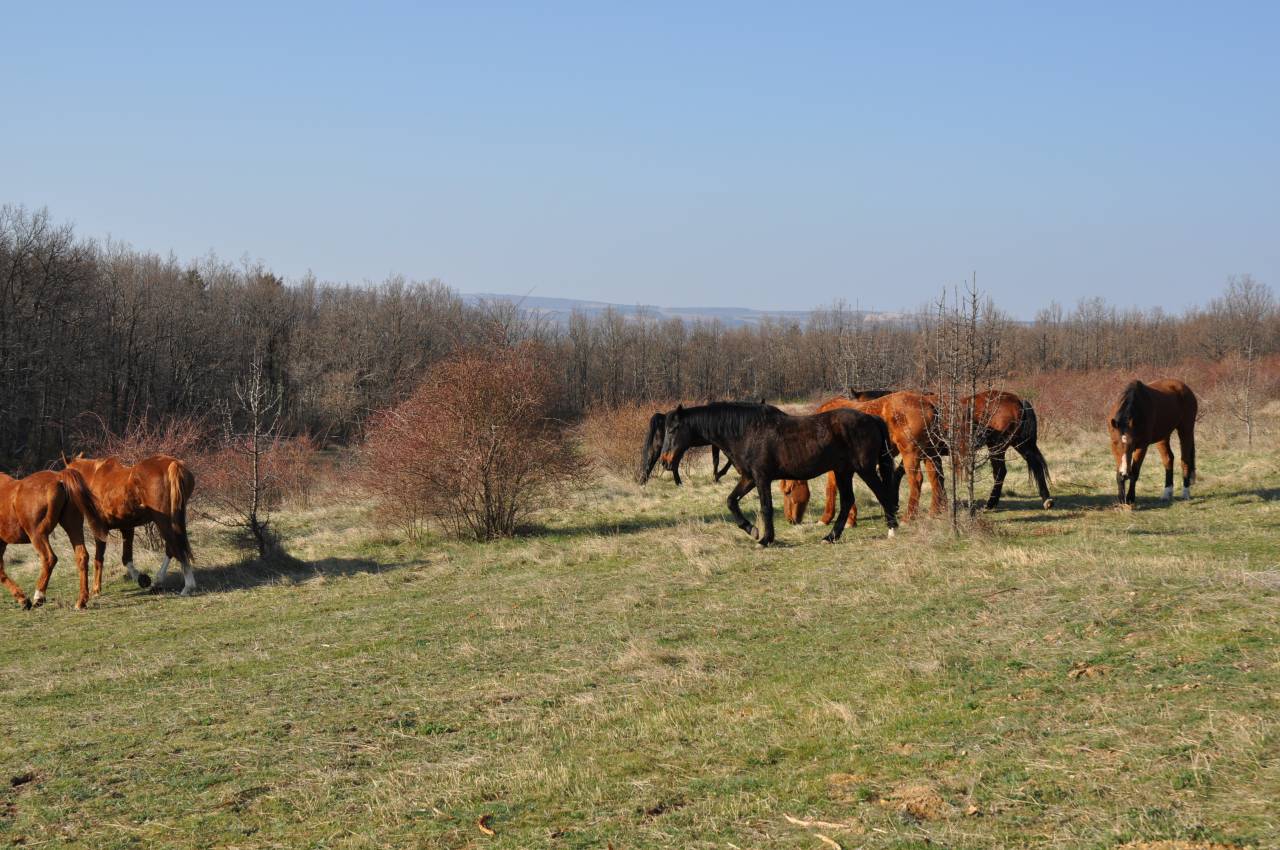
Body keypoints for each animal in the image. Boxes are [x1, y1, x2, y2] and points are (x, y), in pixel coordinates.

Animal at [0, 468, 107, 609]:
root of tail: (58, 477)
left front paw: (23, 599)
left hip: (37, 535)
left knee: (49, 558)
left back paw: (39, 596)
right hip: (73, 526)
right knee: (82, 556)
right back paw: (81, 601)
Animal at [64, 454, 197, 595]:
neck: (94, 478)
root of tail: (173, 464)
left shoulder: (100, 530)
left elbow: (98, 559)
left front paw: (96, 589)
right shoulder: (127, 528)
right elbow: (126, 558)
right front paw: (142, 579)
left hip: (163, 522)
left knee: (177, 548)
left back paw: (188, 586)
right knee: (172, 548)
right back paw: (159, 581)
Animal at [659, 402, 898, 545]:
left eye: (673, 430)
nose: (665, 461)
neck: (747, 432)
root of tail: (872, 418)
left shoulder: (761, 478)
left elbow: (766, 508)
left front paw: (765, 539)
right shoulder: (749, 478)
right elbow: (731, 501)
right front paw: (751, 530)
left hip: (864, 469)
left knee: (882, 494)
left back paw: (892, 529)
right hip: (843, 472)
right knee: (848, 500)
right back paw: (830, 537)